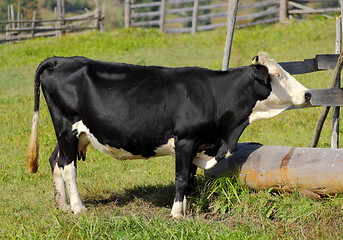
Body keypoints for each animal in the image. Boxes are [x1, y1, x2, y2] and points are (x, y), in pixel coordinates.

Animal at [26, 52, 312, 219]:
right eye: (277, 74)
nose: (308, 94)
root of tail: (62, 59)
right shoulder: (185, 141)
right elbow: (182, 179)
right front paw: (177, 215)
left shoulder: (197, 144)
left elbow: (191, 179)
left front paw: (185, 209)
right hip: (67, 128)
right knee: (68, 166)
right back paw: (78, 207)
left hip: (72, 134)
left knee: (55, 161)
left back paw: (62, 205)